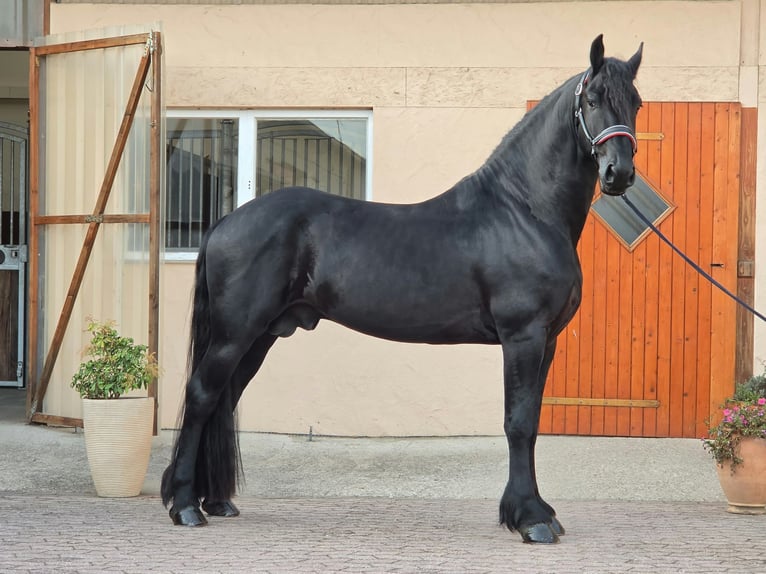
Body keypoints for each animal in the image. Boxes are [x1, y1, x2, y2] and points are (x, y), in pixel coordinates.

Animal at [161, 34, 643, 544]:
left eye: (635, 102)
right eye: (593, 100)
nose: (619, 173)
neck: (524, 210)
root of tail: (224, 222)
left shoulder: (546, 341)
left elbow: (529, 420)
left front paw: (537, 512)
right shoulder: (523, 337)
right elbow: (519, 424)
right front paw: (530, 519)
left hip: (262, 335)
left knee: (225, 398)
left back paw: (215, 501)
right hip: (235, 334)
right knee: (202, 396)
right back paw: (185, 506)